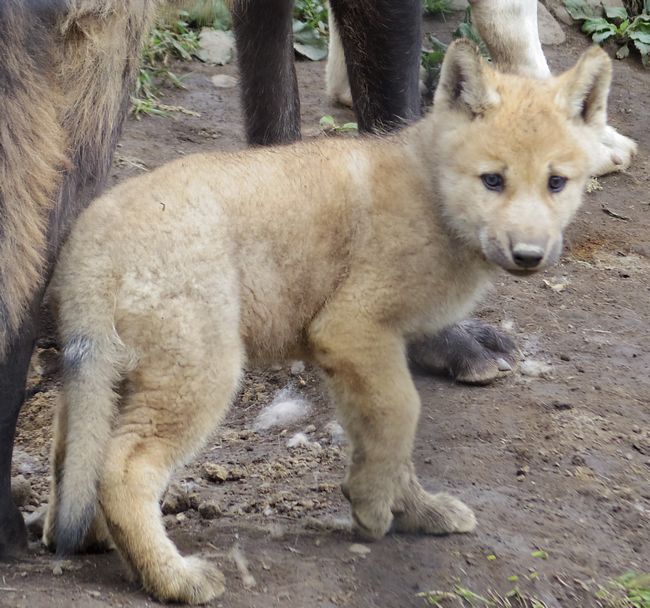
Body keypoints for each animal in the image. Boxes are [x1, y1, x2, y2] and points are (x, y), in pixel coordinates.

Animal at [48, 41, 612, 604]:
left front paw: (412, 508)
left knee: (76, 458)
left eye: (556, 183)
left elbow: (383, 437)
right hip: (200, 374)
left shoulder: (362, 355)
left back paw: (93, 539)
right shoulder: (352, 330)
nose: (529, 256)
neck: (431, 193)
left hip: (112, 377)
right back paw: (174, 578)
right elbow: (402, 416)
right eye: (493, 180)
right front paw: (373, 506)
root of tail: (93, 240)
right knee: (124, 469)